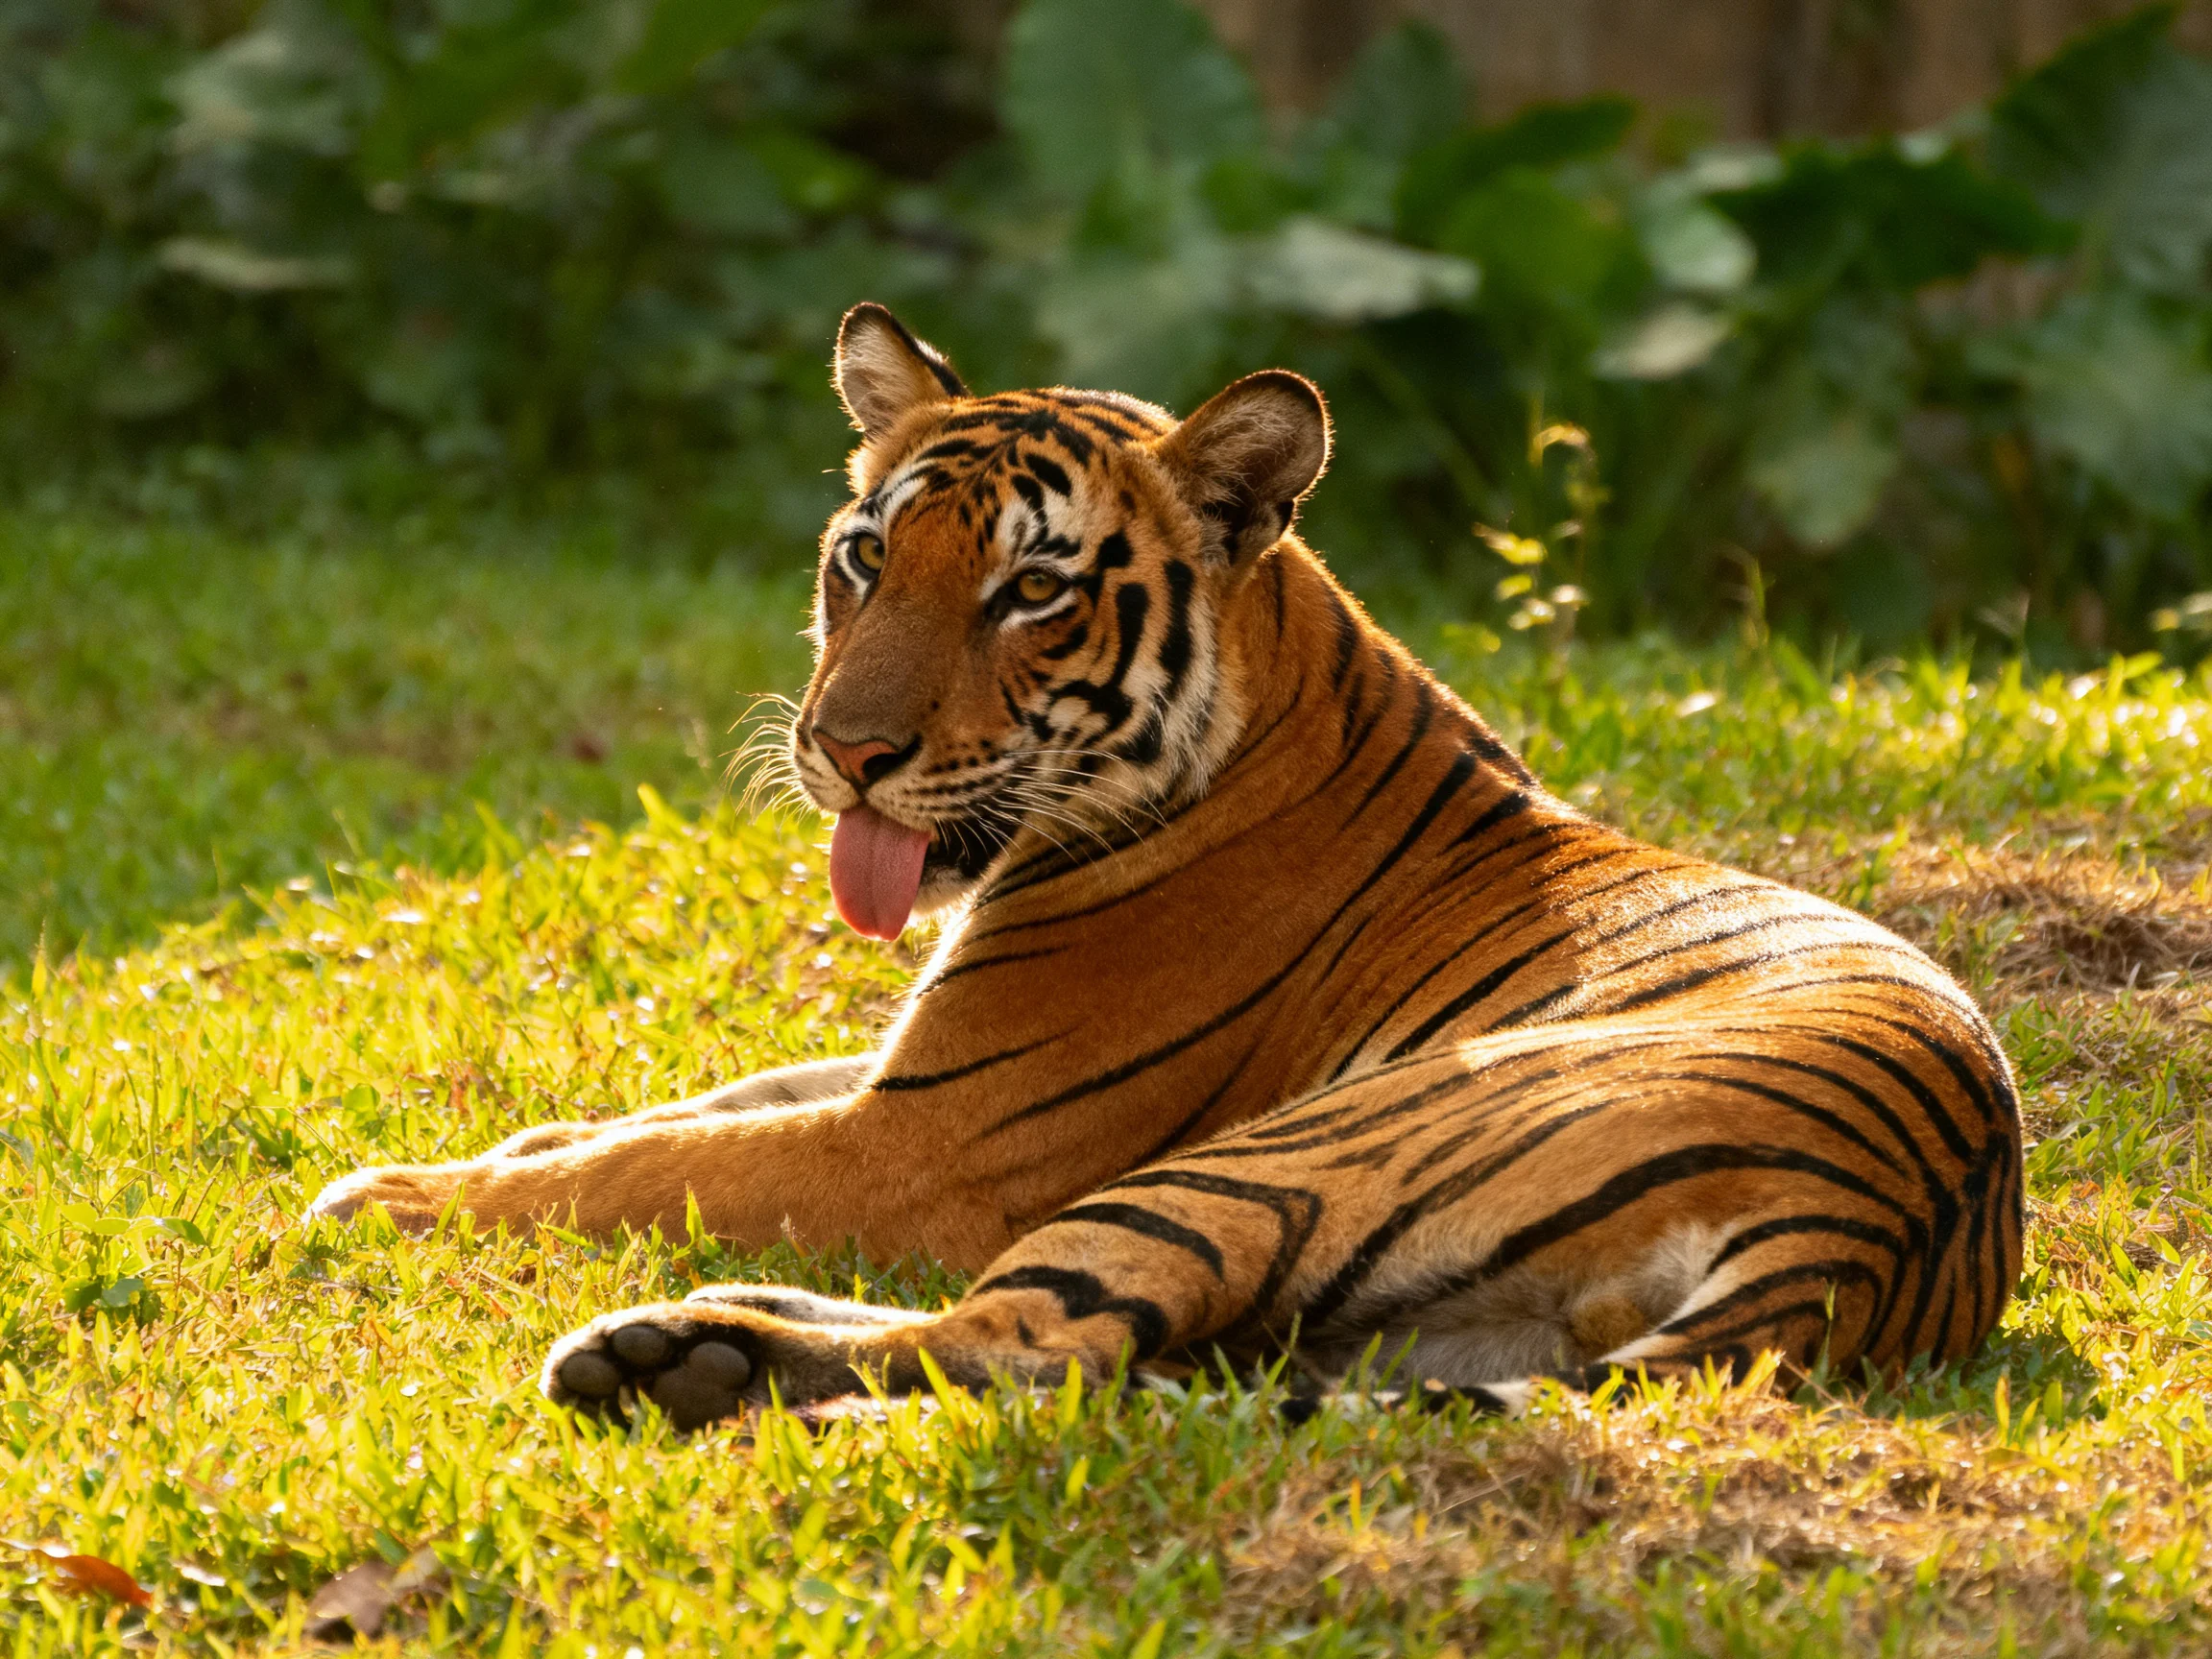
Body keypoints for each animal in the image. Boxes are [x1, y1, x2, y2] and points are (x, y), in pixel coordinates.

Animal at [310, 302, 2023, 1431]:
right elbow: (686, 1108)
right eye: (868, 555)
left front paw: (381, 1196)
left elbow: (657, 1165)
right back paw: (690, 1352)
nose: (844, 751)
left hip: (1276, 1159)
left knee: (1030, 1353)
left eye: (1033, 591)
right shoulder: (906, 1073)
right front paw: (508, 1144)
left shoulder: (928, 1140)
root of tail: (1873, 1231)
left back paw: (690, 1372)